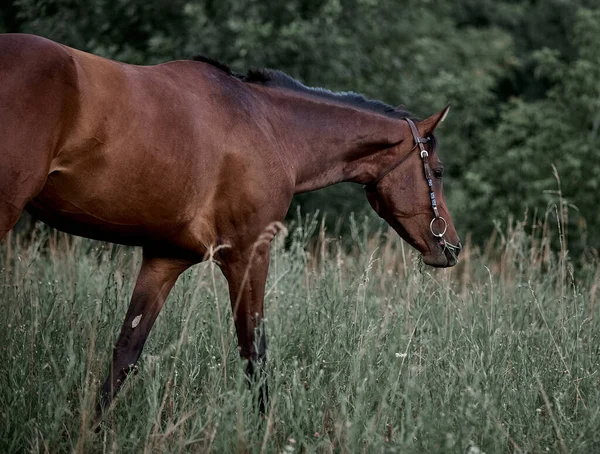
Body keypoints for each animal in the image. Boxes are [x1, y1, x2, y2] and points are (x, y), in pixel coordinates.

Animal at [0, 33, 462, 420]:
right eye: (437, 171)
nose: (451, 248)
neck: (270, 126)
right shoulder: (248, 254)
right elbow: (254, 352)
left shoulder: (164, 259)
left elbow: (126, 352)